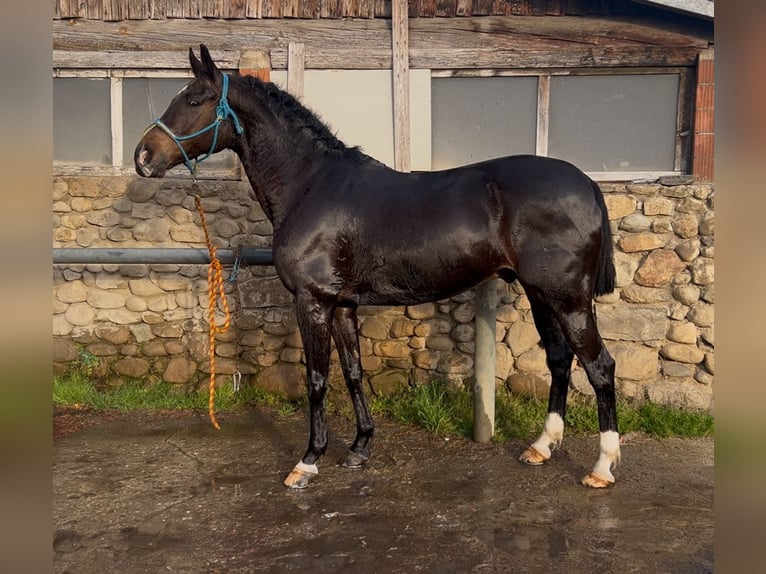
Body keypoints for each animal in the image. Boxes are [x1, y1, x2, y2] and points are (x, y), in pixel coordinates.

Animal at [135, 45, 620, 489]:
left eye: (194, 99)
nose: (143, 156)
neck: (311, 184)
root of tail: (587, 184)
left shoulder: (313, 302)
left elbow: (317, 378)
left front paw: (308, 461)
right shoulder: (342, 304)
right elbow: (353, 373)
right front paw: (359, 447)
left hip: (568, 299)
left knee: (599, 366)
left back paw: (601, 468)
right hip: (541, 295)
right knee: (560, 360)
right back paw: (541, 447)